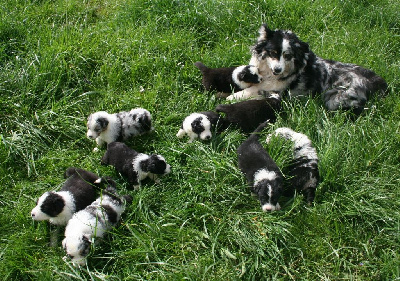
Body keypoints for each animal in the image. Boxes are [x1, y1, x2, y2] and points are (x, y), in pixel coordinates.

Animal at [228, 23, 388, 115]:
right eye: (273, 53)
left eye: (287, 56)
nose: (278, 70)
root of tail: (375, 82)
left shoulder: (275, 92)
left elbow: (250, 92)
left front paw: (231, 98)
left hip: (335, 97)